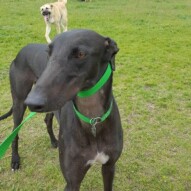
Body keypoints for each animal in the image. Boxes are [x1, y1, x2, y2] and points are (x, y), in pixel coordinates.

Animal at [25, 29, 122, 190]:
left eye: (81, 54)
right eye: (49, 53)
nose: (32, 102)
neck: (92, 121)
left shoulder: (109, 166)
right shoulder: (72, 181)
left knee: (47, 119)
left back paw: (54, 141)